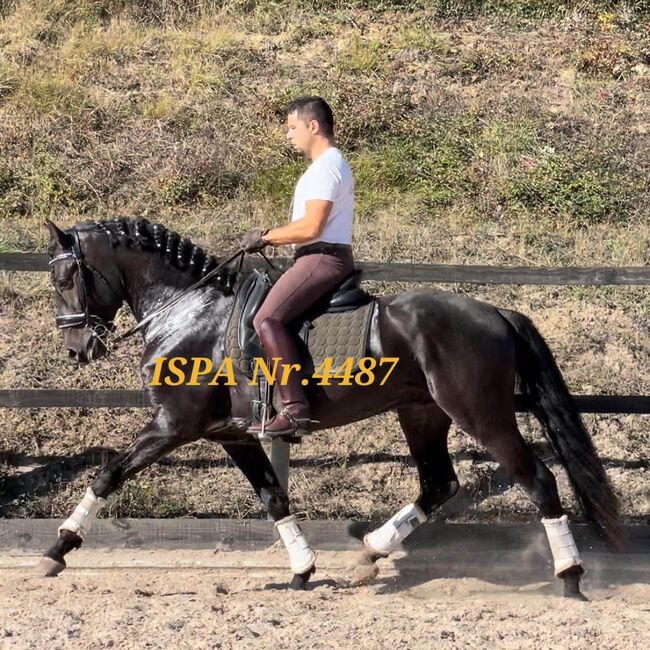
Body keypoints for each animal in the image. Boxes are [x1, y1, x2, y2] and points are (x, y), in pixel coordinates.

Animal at [39, 218, 616, 596]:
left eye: (64, 279)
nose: (76, 350)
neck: (188, 312)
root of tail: (494, 311)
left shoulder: (172, 424)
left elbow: (108, 475)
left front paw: (58, 549)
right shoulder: (232, 434)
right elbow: (273, 497)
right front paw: (302, 570)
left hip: (480, 413)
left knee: (537, 478)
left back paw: (569, 577)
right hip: (421, 413)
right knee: (439, 484)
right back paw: (373, 549)